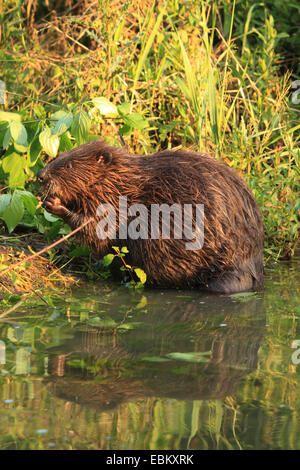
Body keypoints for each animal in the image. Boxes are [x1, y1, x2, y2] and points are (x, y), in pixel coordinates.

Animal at [36, 140, 264, 292]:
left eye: (69, 166)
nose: (40, 176)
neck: (123, 181)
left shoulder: (116, 202)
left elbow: (99, 227)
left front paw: (55, 204)